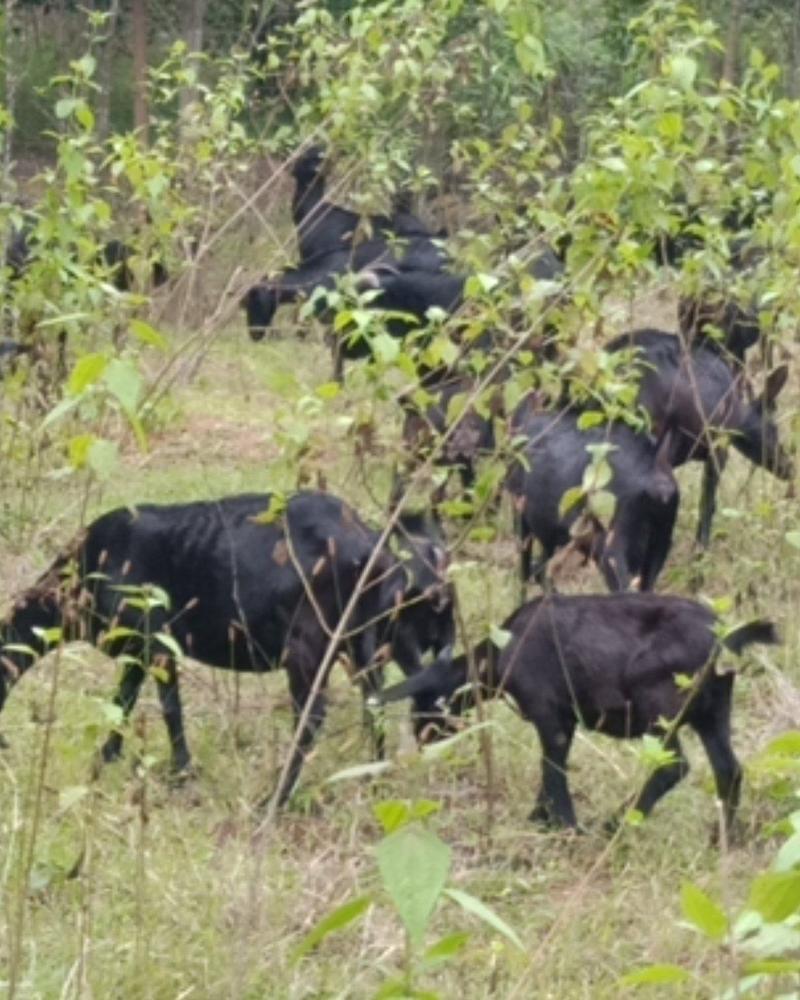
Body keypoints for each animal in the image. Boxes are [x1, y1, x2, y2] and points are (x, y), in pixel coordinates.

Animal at [0, 490, 450, 804]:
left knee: (312, 715)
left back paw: (276, 799)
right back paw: (375, 777)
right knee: (373, 700)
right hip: (360, 643)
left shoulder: (156, 640)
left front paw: (181, 773)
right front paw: (105, 759)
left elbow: (169, 708)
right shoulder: (138, 650)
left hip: (310, 642)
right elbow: (124, 701)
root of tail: (371, 545)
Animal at [378, 592, 780, 836]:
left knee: (673, 767)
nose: (422, 739)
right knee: (728, 769)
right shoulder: (565, 720)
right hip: (714, 711)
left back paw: (616, 824)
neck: (502, 651)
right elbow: (553, 766)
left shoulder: (548, 715)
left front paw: (565, 827)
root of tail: (724, 636)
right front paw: (541, 818)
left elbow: (552, 768)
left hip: (658, 709)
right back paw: (722, 838)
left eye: (425, 701)